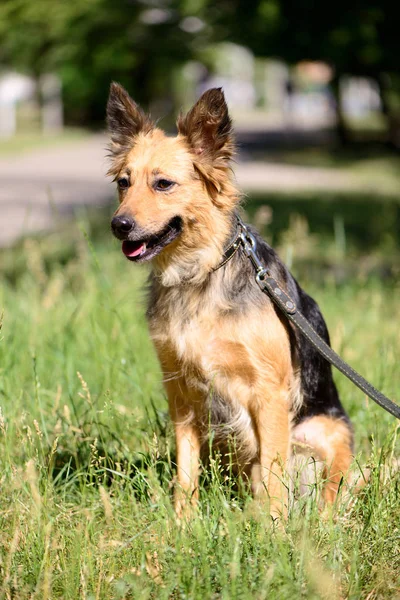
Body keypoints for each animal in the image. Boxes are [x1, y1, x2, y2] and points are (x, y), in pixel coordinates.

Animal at [106, 84, 354, 520]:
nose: (118, 225)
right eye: (124, 182)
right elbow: (185, 469)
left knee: (329, 489)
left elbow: (273, 472)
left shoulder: (268, 393)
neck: (199, 273)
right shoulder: (181, 391)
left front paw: (273, 528)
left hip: (327, 431)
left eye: (163, 184)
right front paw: (182, 522)